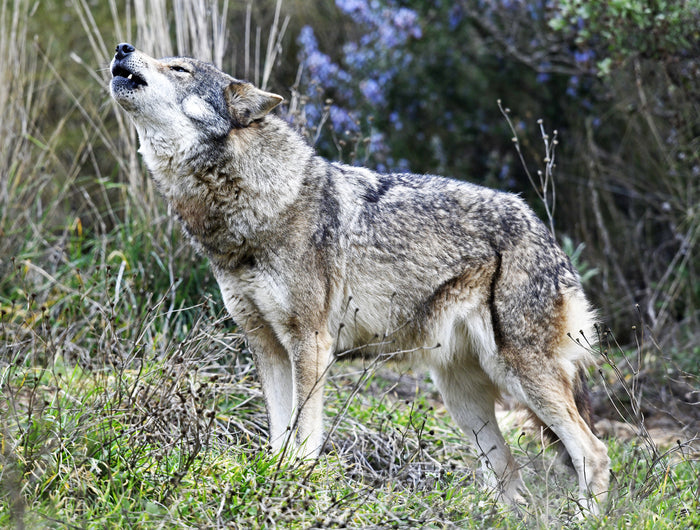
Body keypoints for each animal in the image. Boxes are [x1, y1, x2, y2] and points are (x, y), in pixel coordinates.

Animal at [109, 42, 609, 511]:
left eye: (179, 69)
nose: (122, 49)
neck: (254, 206)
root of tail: (541, 226)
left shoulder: (310, 343)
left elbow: (303, 434)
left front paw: (294, 484)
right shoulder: (266, 345)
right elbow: (278, 432)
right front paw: (272, 480)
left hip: (519, 374)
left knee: (593, 452)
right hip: (464, 399)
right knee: (509, 476)